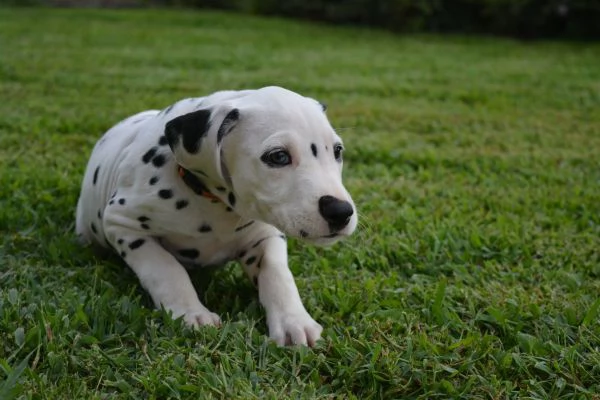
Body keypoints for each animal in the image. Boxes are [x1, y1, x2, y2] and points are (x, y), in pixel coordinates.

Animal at [75, 86, 356, 346]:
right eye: (278, 156)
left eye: (337, 151)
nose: (341, 212)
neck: (212, 202)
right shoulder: (123, 224)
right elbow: (165, 269)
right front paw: (191, 313)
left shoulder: (264, 236)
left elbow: (277, 273)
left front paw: (294, 321)